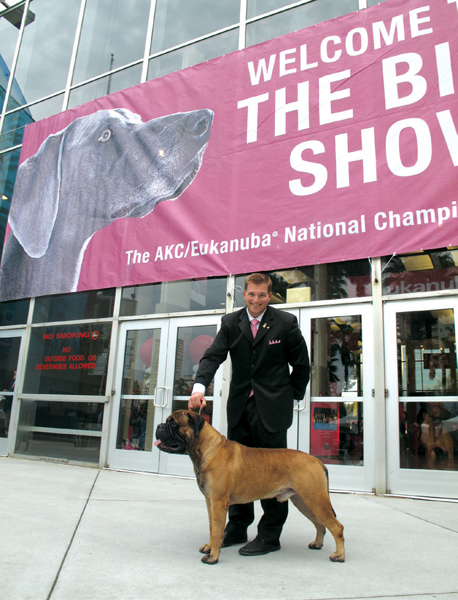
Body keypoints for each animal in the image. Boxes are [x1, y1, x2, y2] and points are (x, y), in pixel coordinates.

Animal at [156, 410, 346, 564]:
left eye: (173, 424)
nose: (159, 426)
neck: (207, 448)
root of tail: (317, 461)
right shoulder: (210, 502)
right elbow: (212, 527)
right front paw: (209, 547)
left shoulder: (218, 503)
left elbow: (217, 531)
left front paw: (213, 556)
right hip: (304, 502)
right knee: (320, 524)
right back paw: (317, 544)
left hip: (315, 500)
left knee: (337, 527)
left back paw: (339, 555)